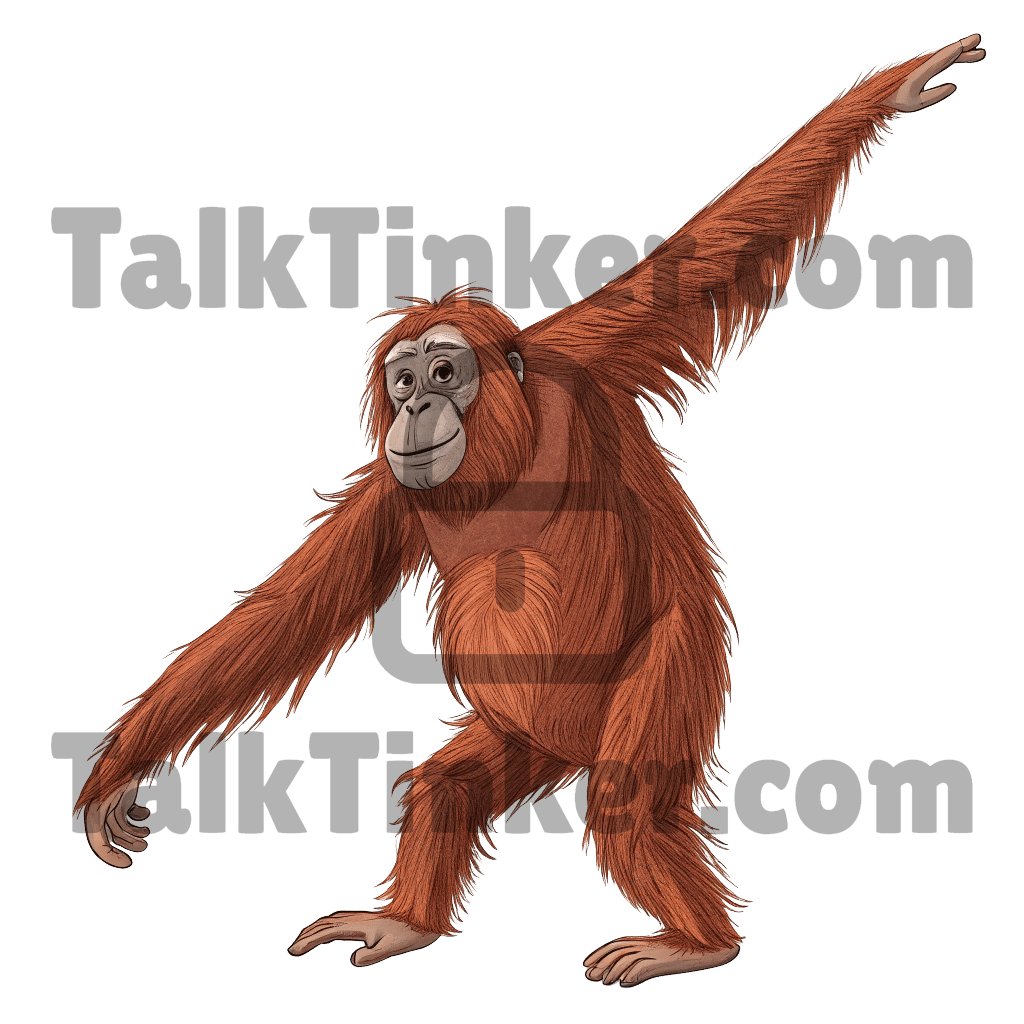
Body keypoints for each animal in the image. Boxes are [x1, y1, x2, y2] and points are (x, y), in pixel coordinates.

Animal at [73, 35, 985, 988]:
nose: (415, 410)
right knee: (449, 786)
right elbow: (289, 612)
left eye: (445, 373)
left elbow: (708, 254)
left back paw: (696, 942)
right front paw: (116, 776)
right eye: (403, 380)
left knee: (626, 798)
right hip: (525, 733)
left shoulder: (580, 356)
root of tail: (571, 746)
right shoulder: (393, 492)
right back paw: (405, 924)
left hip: (666, 673)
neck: (500, 460)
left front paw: (898, 87)